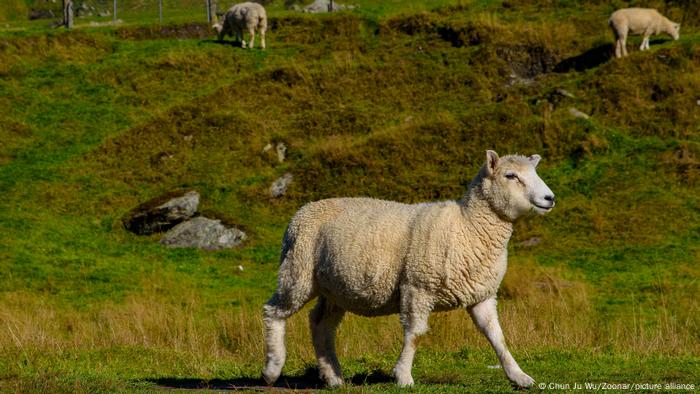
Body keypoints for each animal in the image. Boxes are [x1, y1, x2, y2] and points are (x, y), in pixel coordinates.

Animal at [260, 151, 556, 388]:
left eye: (534, 173)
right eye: (511, 175)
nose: (549, 198)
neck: (468, 226)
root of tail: (303, 210)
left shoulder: (481, 295)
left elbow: (497, 337)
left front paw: (519, 376)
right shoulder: (418, 286)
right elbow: (415, 334)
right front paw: (403, 376)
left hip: (335, 289)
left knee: (321, 324)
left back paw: (333, 377)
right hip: (297, 271)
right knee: (273, 312)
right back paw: (272, 369)